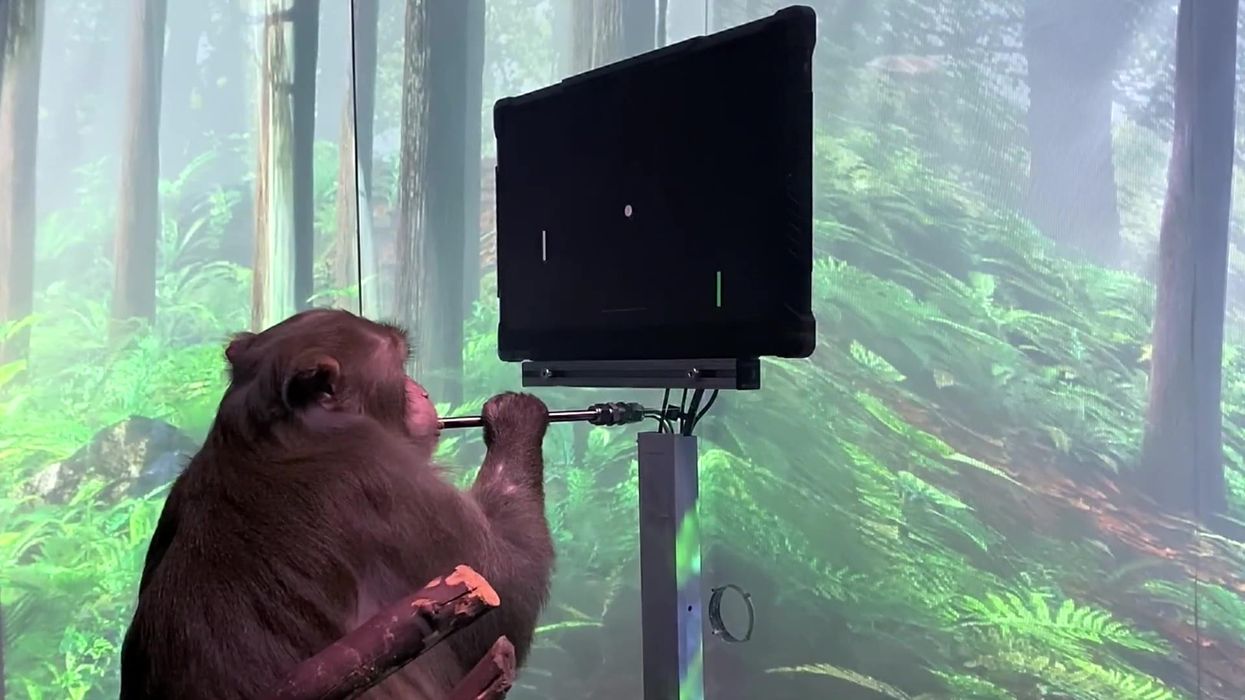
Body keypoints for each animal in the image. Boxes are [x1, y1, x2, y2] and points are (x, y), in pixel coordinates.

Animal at [118, 308, 555, 699]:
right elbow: (504, 592)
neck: (282, 431)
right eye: (400, 365)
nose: (423, 392)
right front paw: (515, 418)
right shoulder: (386, 477)